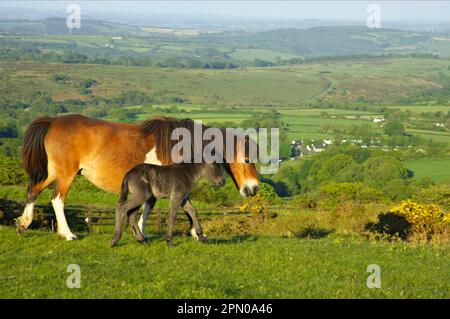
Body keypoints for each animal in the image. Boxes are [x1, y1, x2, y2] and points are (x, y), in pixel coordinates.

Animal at [17, 115, 258, 240]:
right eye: (247, 159)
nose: (254, 188)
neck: (178, 144)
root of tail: (52, 121)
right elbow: (161, 209)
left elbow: (167, 209)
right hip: (66, 174)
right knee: (57, 200)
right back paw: (67, 234)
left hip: (53, 172)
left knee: (33, 190)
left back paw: (23, 224)